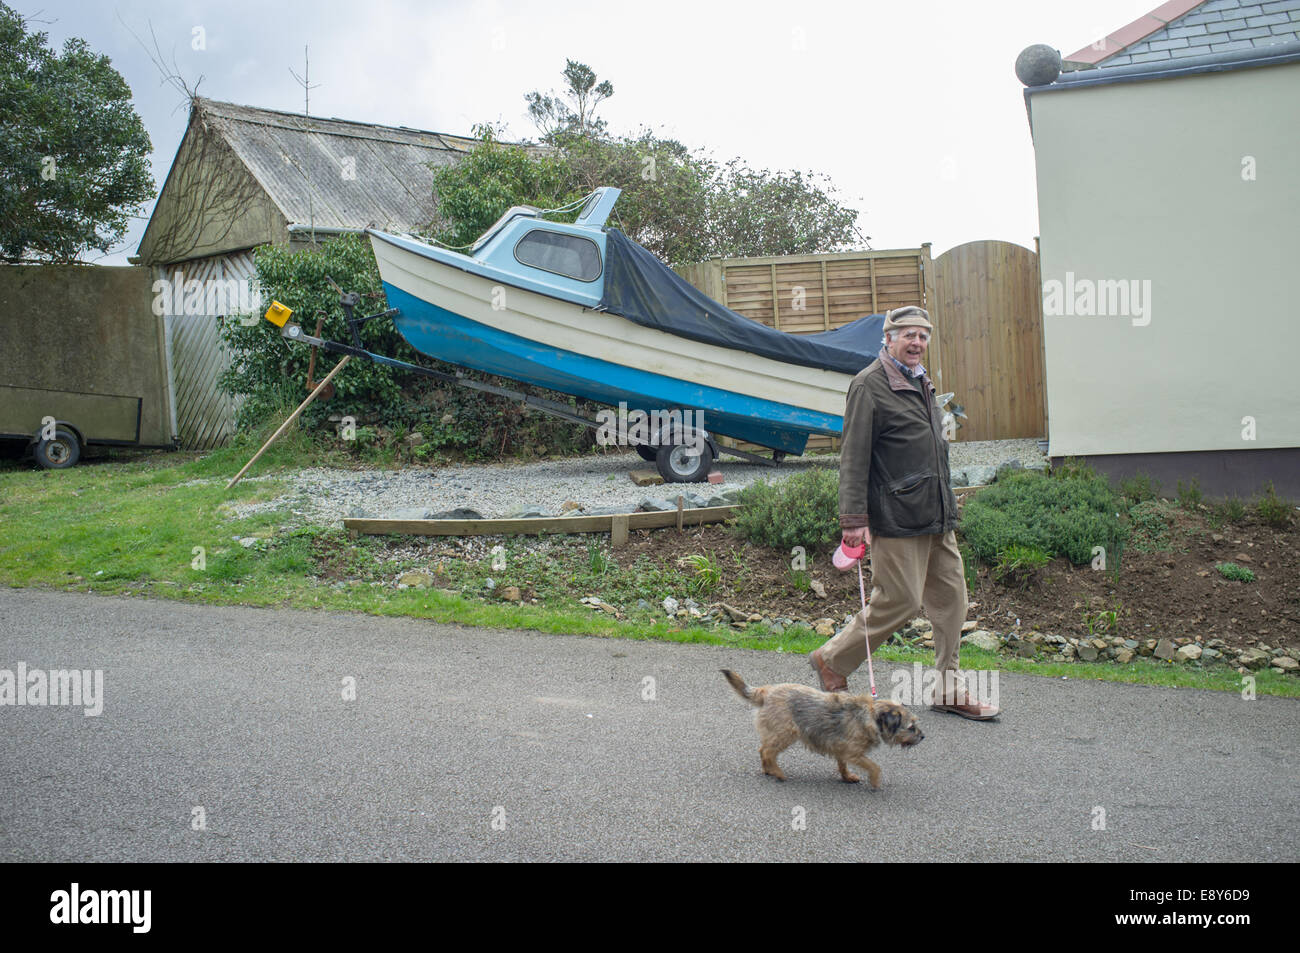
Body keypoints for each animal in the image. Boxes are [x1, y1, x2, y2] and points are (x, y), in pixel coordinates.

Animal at [722, 665, 925, 785]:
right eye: (910, 727)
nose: (923, 736)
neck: (871, 716)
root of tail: (767, 691)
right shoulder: (854, 752)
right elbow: (874, 766)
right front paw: (875, 781)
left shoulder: (842, 749)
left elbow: (842, 764)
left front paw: (847, 776)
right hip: (786, 732)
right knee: (767, 751)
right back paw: (777, 772)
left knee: (763, 750)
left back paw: (769, 770)